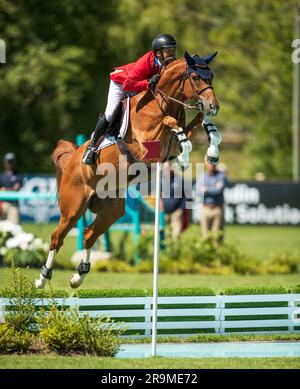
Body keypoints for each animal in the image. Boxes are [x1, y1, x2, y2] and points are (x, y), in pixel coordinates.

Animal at [35, 50, 220, 288]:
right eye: (195, 77)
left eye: (211, 76)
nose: (213, 106)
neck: (160, 102)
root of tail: (72, 162)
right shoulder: (145, 145)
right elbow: (170, 122)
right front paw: (185, 156)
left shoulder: (169, 146)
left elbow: (197, 122)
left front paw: (211, 150)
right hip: (73, 207)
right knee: (57, 237)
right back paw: (42, 278)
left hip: (112, 209)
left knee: (89, 234)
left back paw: (78, 277)